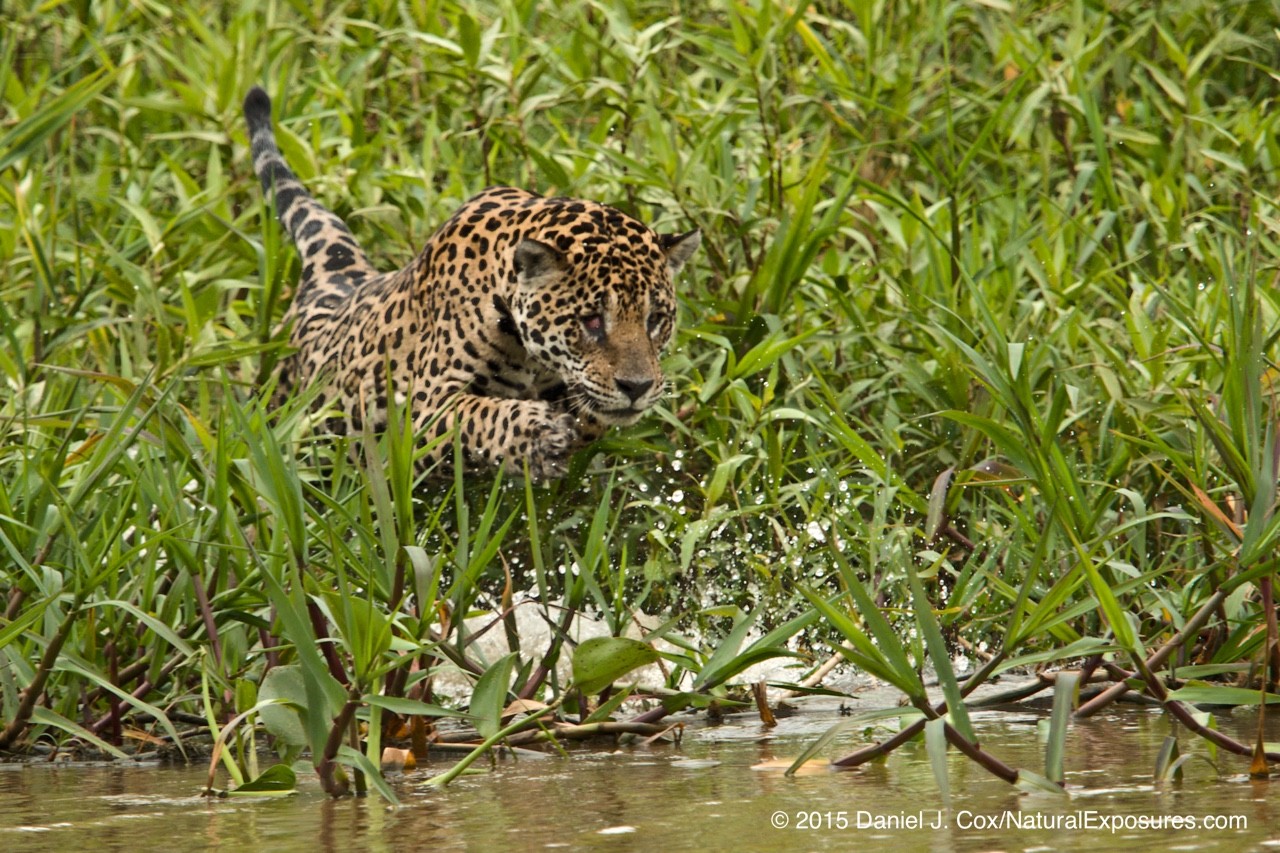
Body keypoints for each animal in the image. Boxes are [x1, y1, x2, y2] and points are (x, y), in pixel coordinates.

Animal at [243, 87, 699, 479]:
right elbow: (477, 416)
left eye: (656, 320)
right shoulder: (420, 408)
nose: (637, 387)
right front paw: (537, 433)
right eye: (590, 321)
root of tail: (334, 279)